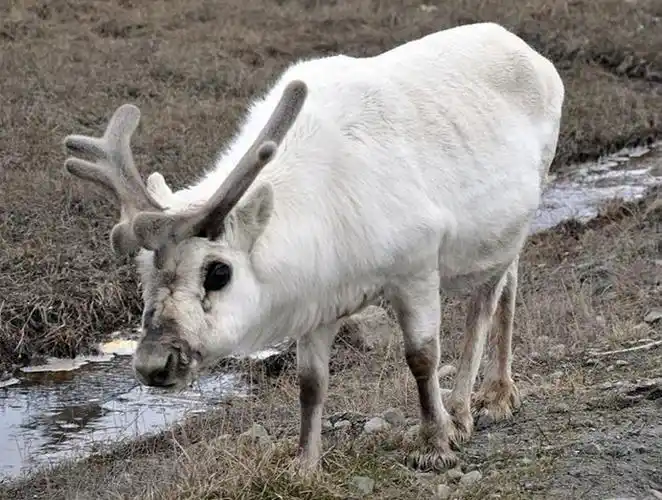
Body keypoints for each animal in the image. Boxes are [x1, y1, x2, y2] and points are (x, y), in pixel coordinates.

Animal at [62, 22, 564, 472]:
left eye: (218, 271)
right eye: (142, 272)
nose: (154, 363)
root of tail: (534, 55)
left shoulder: (417, 266)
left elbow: (421, 359)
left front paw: (435, 444)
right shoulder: (317, 299)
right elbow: (311, 383)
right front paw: (304, 464)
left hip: (520, 210)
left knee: (488, 298)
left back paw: (473, 406)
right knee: (509, 280)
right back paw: (493, 394)